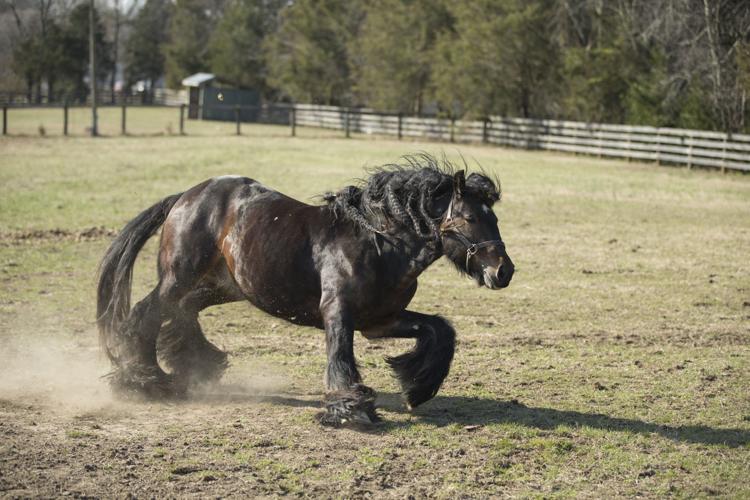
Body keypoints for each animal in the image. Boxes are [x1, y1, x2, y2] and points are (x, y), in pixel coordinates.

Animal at [96, 154, 514, 425]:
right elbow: (340, 358)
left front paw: (418, 388)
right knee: (145, 314)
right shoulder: (339, 314)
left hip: (224, 286)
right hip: (179, 277)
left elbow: (441, 330)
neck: (379, 243)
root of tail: (186, 196)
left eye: (494, 217)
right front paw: (350, 408)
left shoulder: (381, 321)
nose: (504, 271)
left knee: (181, 313)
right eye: (471, 217)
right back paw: (145, 380)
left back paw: (193, 367)